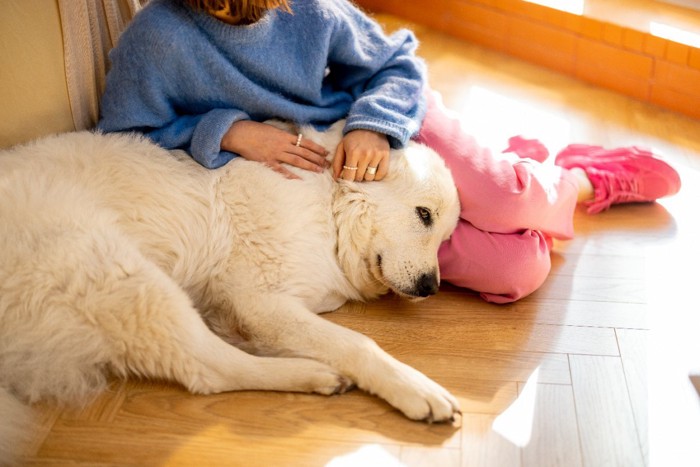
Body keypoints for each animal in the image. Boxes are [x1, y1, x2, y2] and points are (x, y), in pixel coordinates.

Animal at [0, 122, 462, 462]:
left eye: (445, 237)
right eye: (424, 215)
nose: (431, 287)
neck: (327, 206)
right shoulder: (260, 302)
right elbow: (358, 344)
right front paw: (416, 388)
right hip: (126, 276)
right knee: (209, 371)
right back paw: (313, 374)